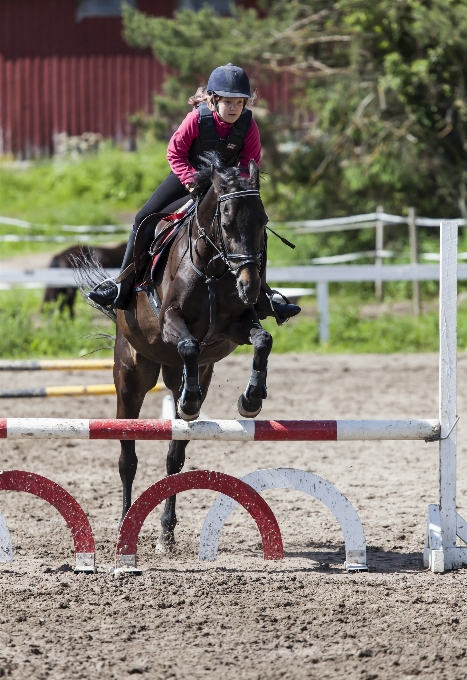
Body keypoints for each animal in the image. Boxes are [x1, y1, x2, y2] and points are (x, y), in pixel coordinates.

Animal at [75, 153, 272, 548]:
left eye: (263, 222)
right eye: (226, 221)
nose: (249, 286)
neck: (213, 266)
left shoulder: (238, 323)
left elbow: (262, 340)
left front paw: (251, 399)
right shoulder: (171, 320)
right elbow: (189, 343)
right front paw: (193, 399)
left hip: (184, 374)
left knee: (174, 456)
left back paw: (166, 528)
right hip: (130, 378)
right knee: (128, 457)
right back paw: (126, 524)